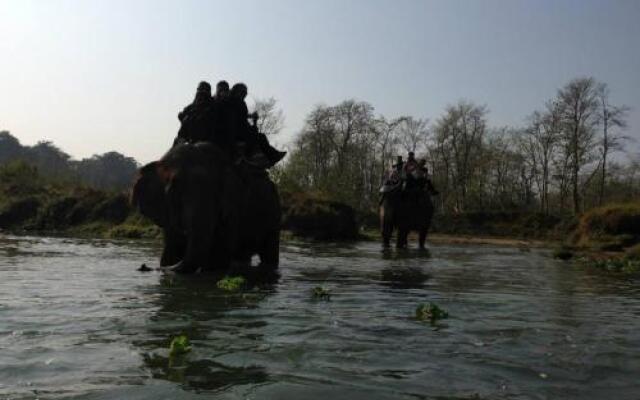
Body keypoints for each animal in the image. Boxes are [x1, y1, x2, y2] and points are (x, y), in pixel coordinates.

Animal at [130, 142, 280, 274]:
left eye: (217, 191)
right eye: (175, 188)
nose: (144, 266)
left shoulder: (232, 208)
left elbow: (216, 262)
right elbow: (171, 251)